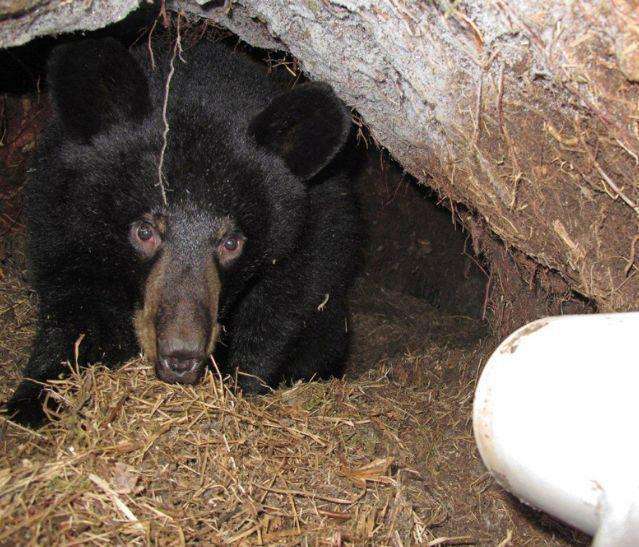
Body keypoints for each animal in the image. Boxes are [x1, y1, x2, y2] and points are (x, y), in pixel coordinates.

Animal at [7, 37, 362, 428]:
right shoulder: (62, 219)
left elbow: (280, 312)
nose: (180, 357)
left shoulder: (312, 239)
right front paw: (35, 400)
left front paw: (240, 388)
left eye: (231, 242)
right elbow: (74, 307)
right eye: (144, 231)